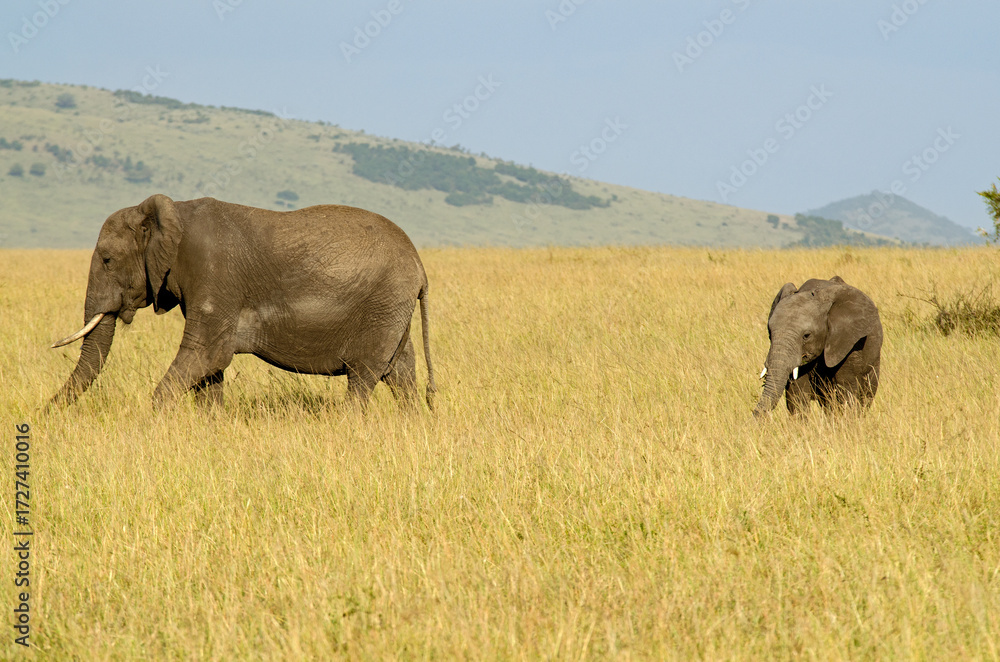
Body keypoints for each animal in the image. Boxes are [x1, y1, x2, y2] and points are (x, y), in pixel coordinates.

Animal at [50, 194, 436, 409]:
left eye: (107, 260)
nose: (44, 414)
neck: (171, 212)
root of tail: (420, 267)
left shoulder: (213, 274)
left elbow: (206, 354)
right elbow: (210, 370)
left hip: (383, 303)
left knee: (363, 377)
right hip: (392, 308)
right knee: (400, 374)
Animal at [753, 276, 882, 417]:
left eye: (806, 335)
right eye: (770, 333)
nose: (754, 413)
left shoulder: (850, 342)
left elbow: (847, 389)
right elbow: (797, 394)